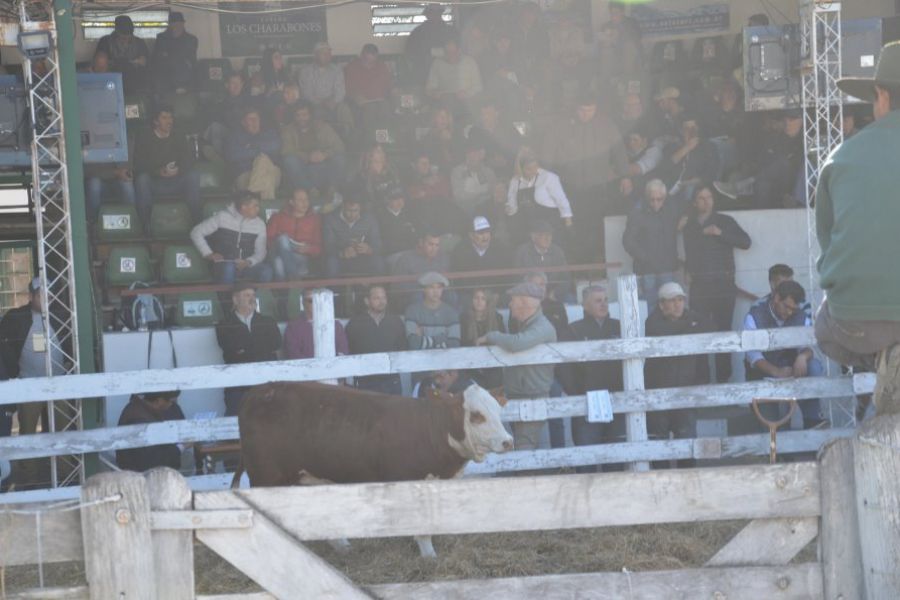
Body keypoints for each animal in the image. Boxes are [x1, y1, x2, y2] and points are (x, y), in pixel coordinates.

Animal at [232, 380, 512, 556]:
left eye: (498, 411)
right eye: (476, 415)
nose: (507, 441)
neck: (430, 430)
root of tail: (258, 391)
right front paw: (428, 554)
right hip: (265, 477)